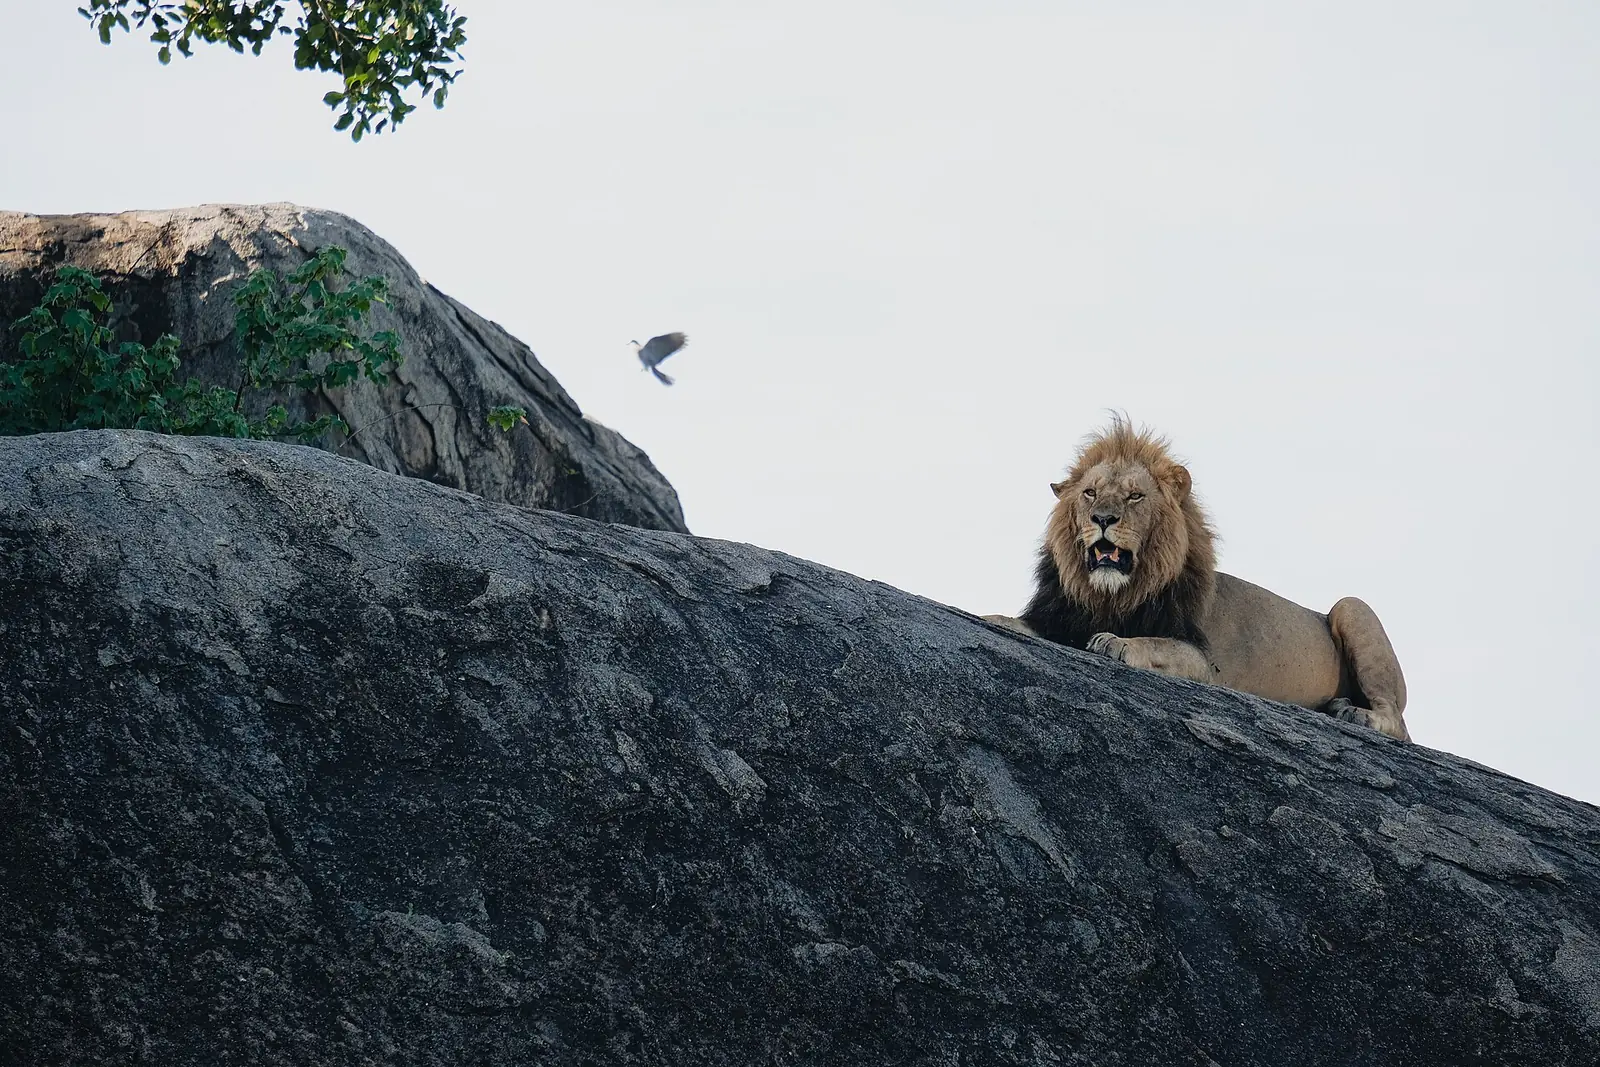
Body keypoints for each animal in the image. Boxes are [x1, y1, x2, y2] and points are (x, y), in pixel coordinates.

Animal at [991, 418, 1411, 741]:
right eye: (1090, 493)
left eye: (1135, 497)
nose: (1103, 519)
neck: (1111, 596)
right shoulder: (1059, 619)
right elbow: (1020, 624)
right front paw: (993, 619)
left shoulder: (1203, 662)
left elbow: (1153, 644)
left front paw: (1114, 642)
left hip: (1353, 607)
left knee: (1395, 720)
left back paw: (1354, 713)